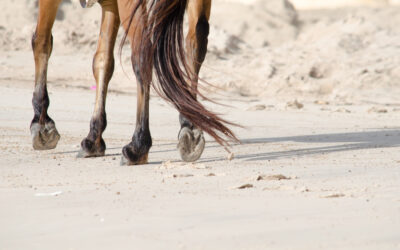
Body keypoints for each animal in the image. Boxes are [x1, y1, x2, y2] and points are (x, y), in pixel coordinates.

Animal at [32, 0, 238, 164]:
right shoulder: (110, 4)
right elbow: (102, 61)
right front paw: (94, 137)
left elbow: (41, 41)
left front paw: (41, 122)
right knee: (195, 42)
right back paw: (190, 128)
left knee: (143, 52)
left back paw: (139, 144)